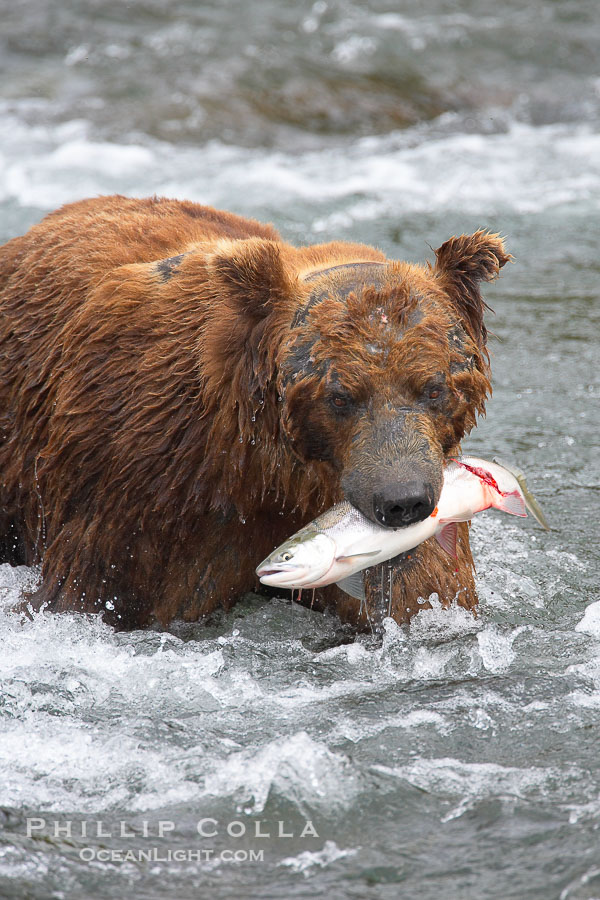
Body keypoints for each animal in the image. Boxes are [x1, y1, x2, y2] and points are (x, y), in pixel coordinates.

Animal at [0, 195, 510, 630]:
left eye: (433, 388)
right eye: (340, 396)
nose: (403, 499)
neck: (272, 466)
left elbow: (419, 594)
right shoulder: (141, 479)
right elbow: (90, 591)